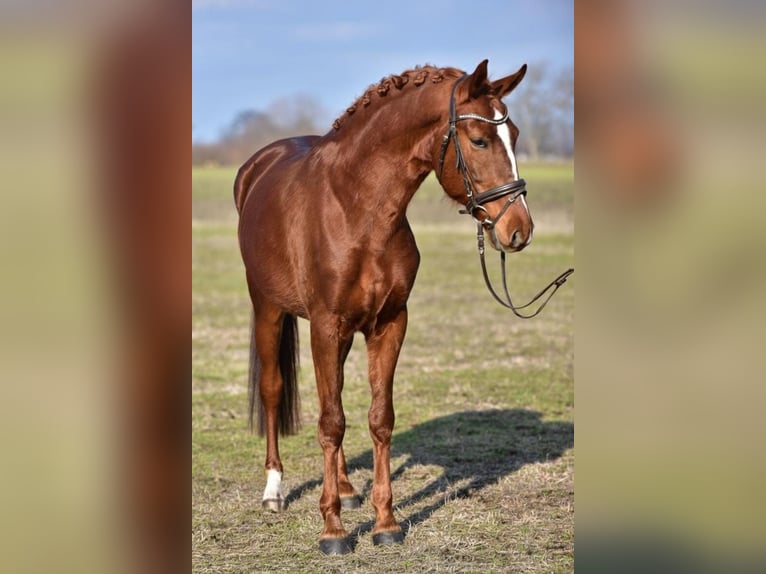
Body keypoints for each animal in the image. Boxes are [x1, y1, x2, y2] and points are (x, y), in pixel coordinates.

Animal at [235, 60, 532, 555]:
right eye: (479, 140)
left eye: (515, 133)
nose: (519, 229)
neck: (357, 208)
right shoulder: (324, 324)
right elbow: (330, 422)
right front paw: (333, 531)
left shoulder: (389, 324)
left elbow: (377, 418)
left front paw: (385, 522)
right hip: (269, 309)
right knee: (276, 391)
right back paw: (274, 491)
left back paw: (347, 490)